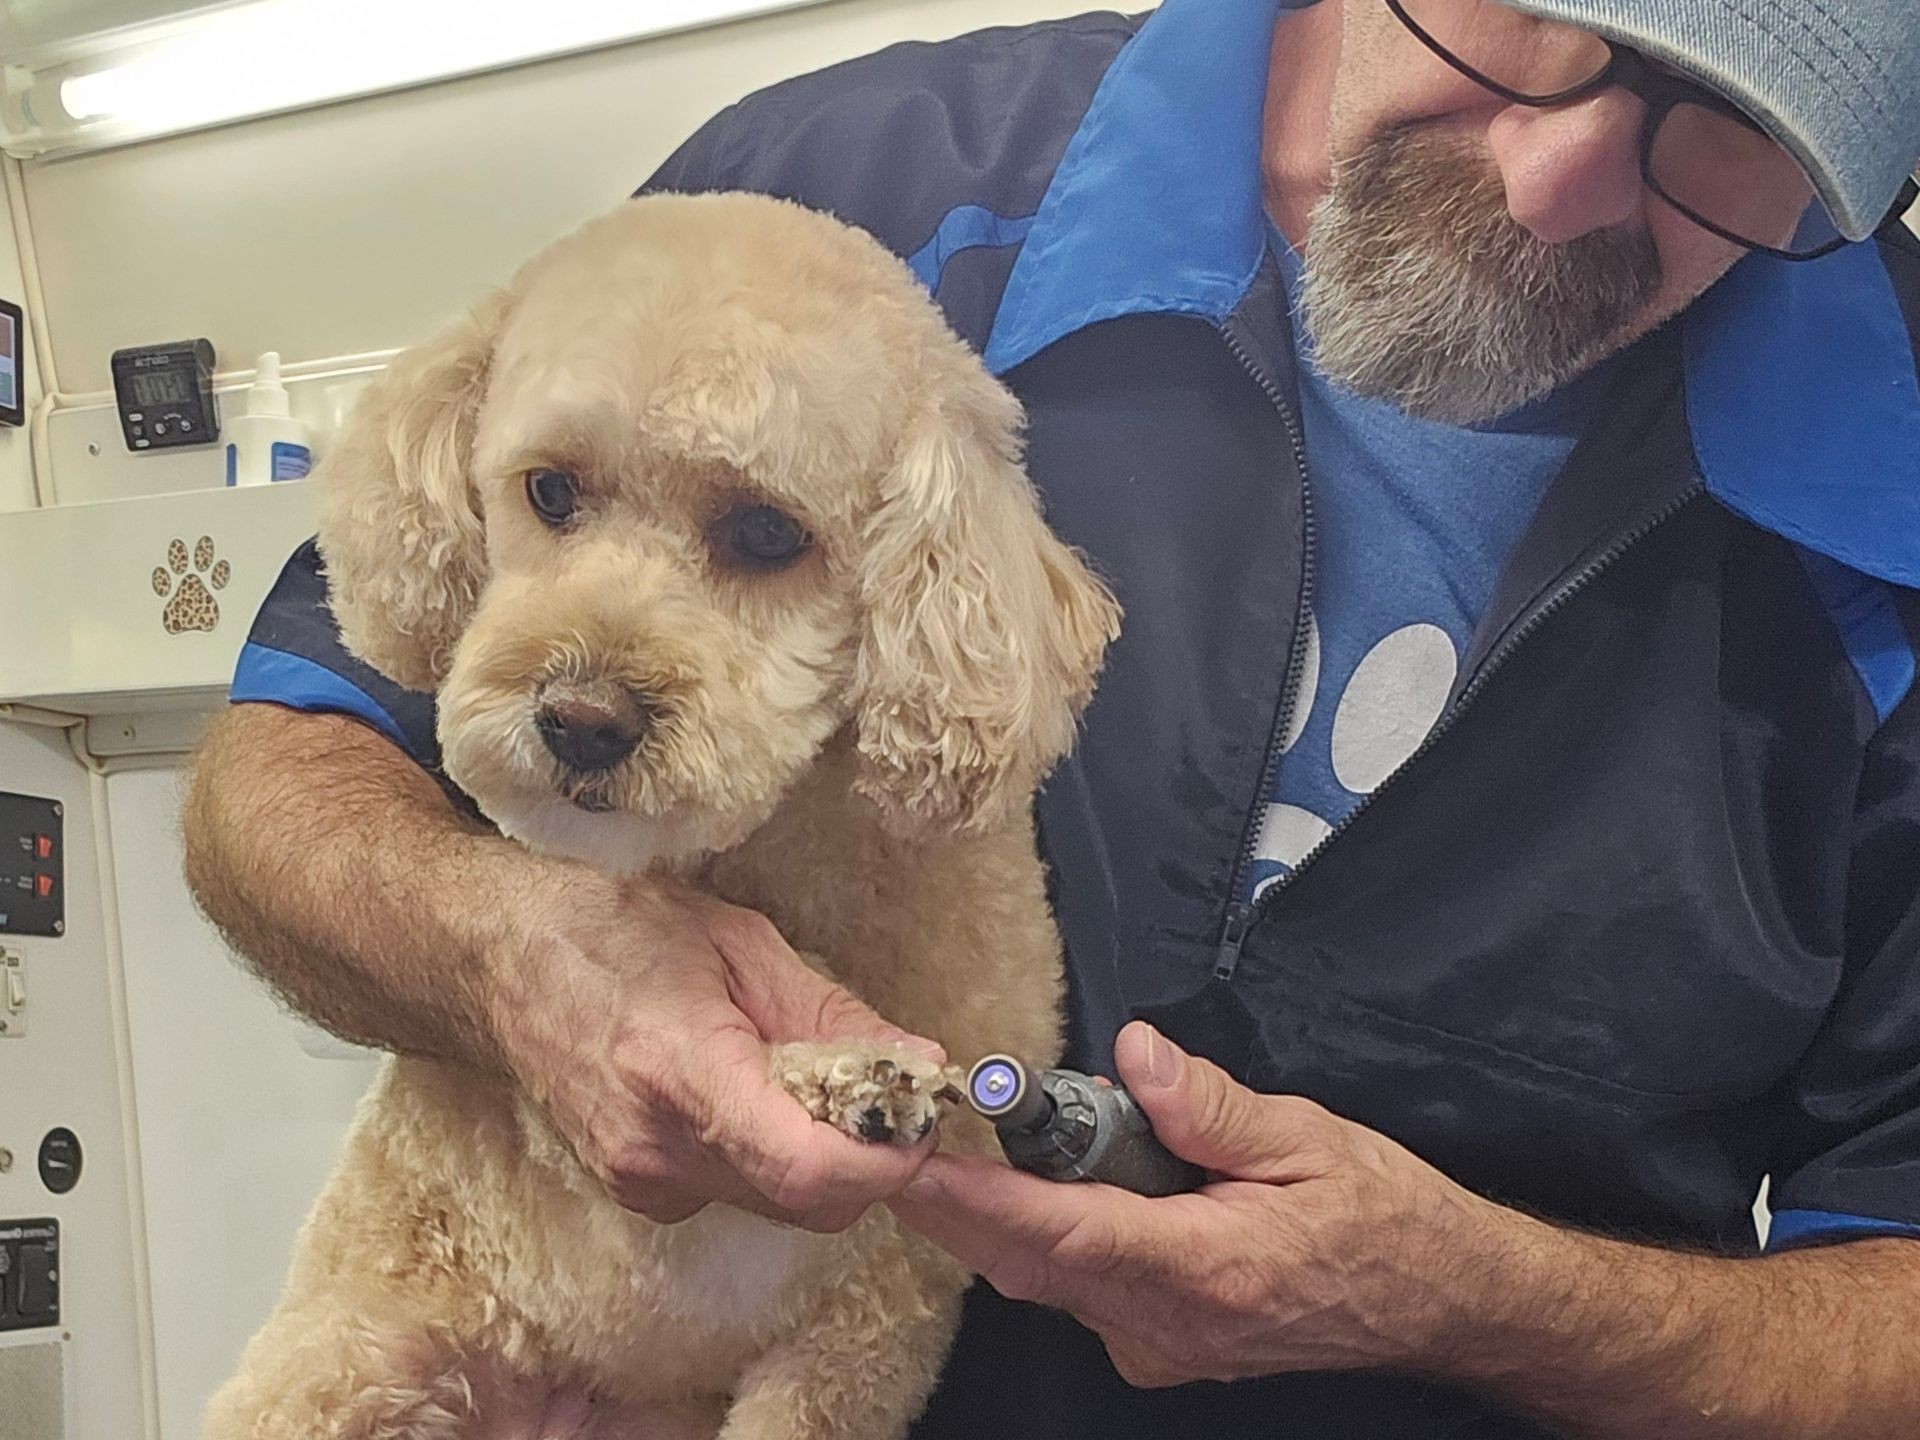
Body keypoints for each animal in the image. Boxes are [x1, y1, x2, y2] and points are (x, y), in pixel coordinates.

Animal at [202, 194, 1121, 1440]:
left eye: (769, 534)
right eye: (548, 492)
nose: (580, 721)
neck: (754, 857)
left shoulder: (862, 1332)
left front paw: (854, 1078)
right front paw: (841, 1073)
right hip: (354, 1346)